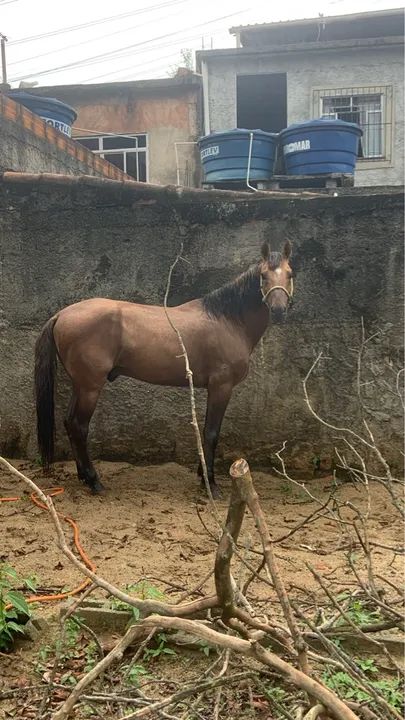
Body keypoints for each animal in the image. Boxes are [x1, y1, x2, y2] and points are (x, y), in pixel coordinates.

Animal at [34, 240, 294, 497]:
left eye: (289, 274)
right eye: (263, 275)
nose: (279, 310)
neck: (227, 321)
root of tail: (61, 314)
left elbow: (205, 432)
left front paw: (202, 476)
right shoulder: (222, 386)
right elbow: (211, 433)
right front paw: (210, 484)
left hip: (80, 385)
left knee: (69, 423)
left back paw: (83, 476)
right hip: (90, 387)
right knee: (79, 427)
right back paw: (94, 481)